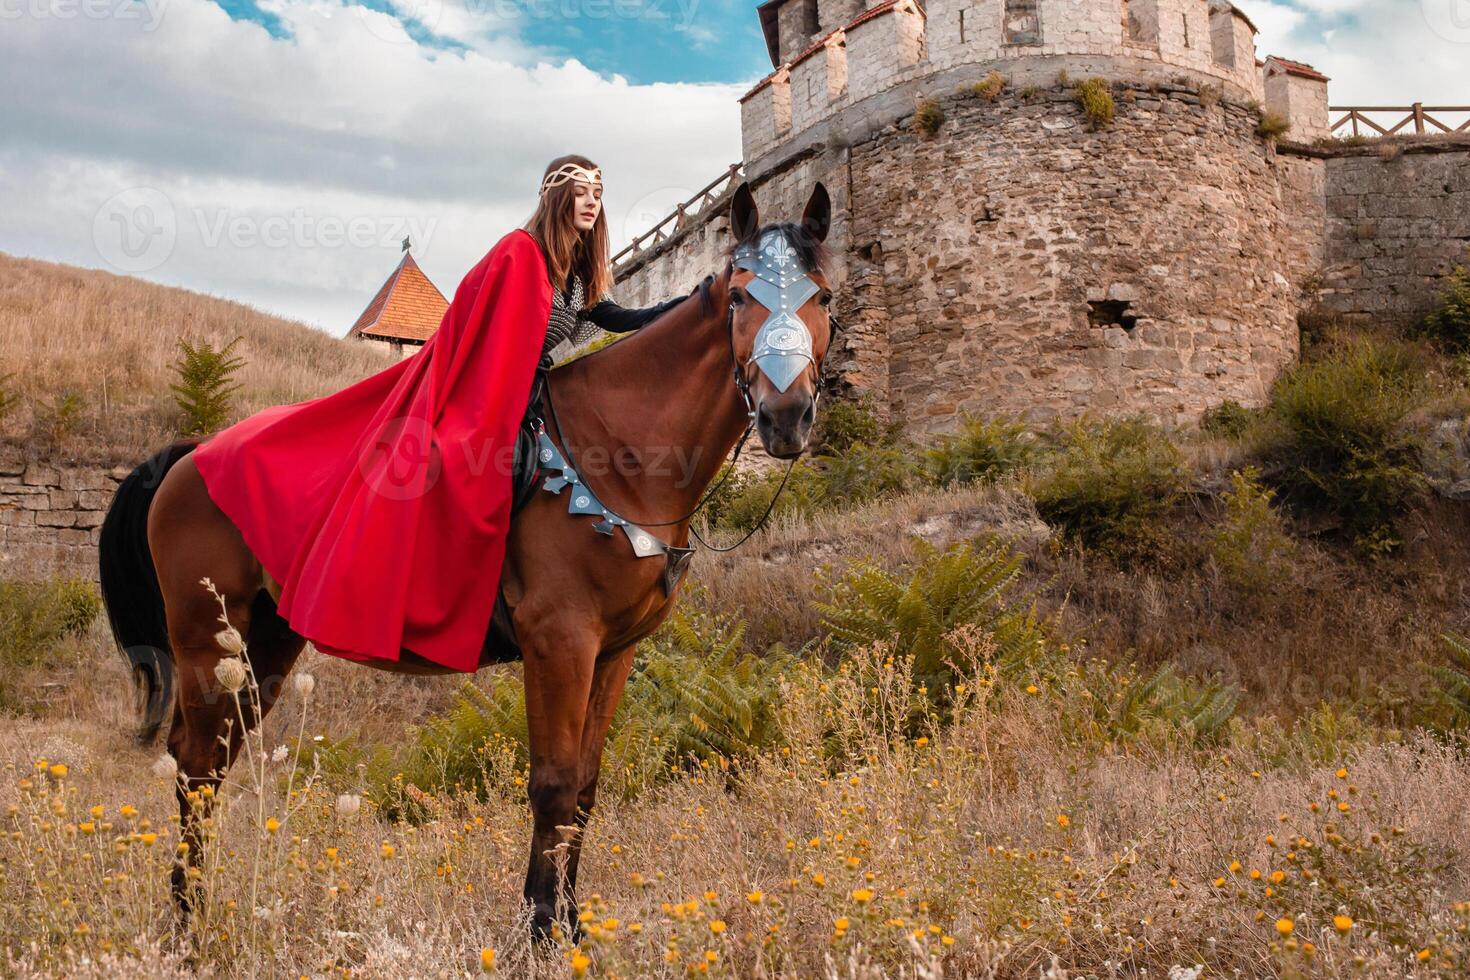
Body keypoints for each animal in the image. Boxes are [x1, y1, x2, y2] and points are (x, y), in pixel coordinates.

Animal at [97, 179, 840, 940]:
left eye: (825, 297)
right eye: (741, 298)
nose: (787, 417)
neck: (622, 453)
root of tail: (188, 457)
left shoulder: (614, 650)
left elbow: (586, 786)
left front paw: (569, 927)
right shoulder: (559, 640)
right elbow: (553, 784)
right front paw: (540, 932)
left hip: (266, 641)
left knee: (215, 756)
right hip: (202, 639)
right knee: (196, 765)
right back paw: (188, 926)